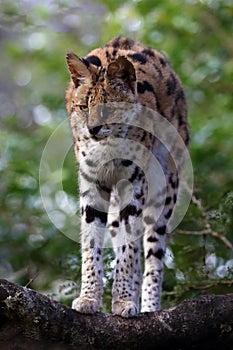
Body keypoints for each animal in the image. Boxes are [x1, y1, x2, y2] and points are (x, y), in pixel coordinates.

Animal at [65, 36, 189, 318]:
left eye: (109, 108)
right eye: (83, 107)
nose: (93, 129)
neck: (107, 146)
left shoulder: (135, 185)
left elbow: (128, 251)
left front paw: (122, 301)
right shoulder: (92, 186)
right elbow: (91, 245)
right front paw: (89, 298)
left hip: (165, 186)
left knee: (153, 254)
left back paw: (149, 308)